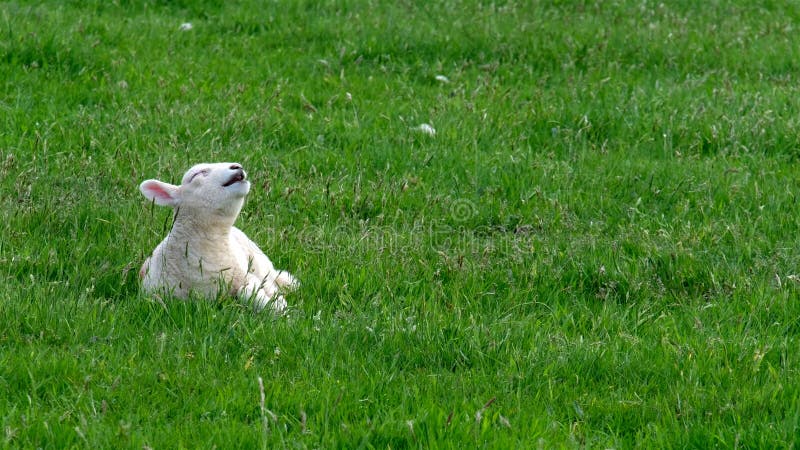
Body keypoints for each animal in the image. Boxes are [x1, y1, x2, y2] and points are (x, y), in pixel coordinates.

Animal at [139, 162, 297, 313]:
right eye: (197, 174)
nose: (237, 166)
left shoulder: (247, 275)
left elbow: (252, 290)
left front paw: (279, 306)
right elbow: (246, 292)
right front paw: (279, 307)